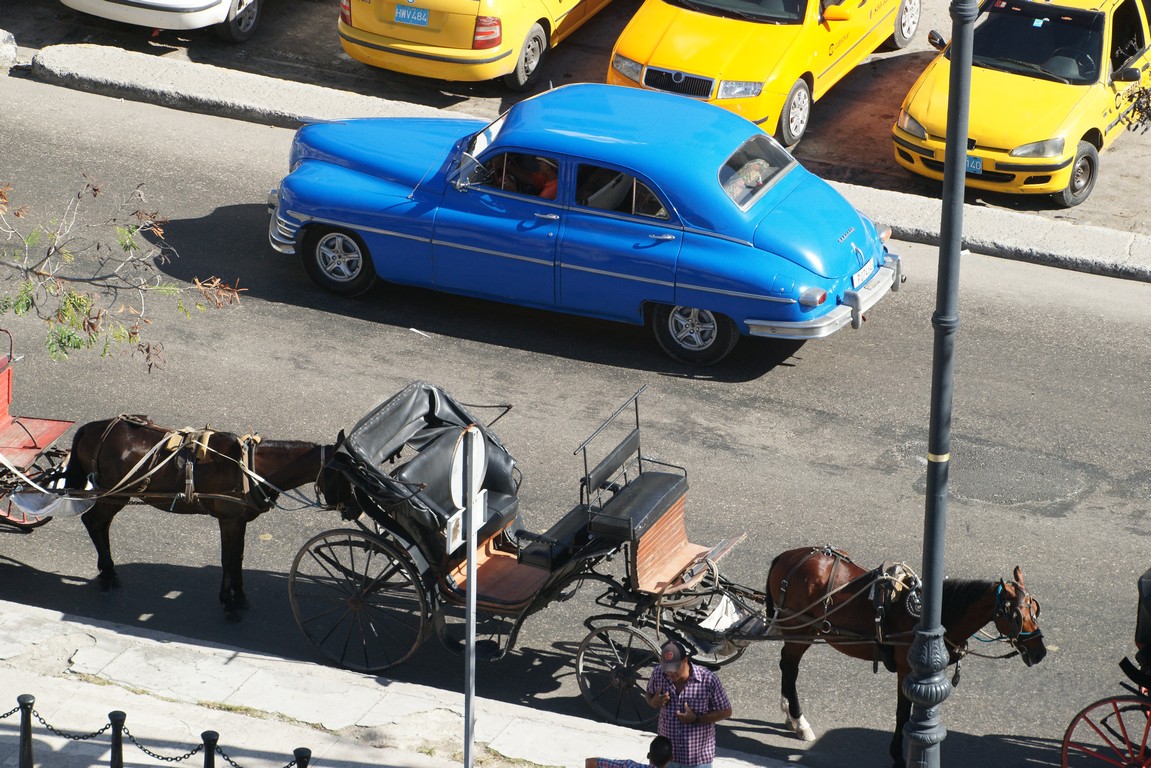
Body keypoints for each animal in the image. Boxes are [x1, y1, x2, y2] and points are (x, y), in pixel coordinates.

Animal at [63, 414, 336, 617]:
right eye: (343, 471)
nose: (344, 509)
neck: (249, 468)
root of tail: (89, 429)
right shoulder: (229, 519)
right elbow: (229, 559)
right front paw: (229, 603)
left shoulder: (238, 521)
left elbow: (237, 557)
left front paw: (238, 597)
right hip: (115, 494)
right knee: (93, 522)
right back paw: (108, 574)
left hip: (114, 496)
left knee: (100, 524)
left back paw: (107, 571)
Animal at [768, 543, 1049, 764]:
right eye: (1015, 616)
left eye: (1034, 609)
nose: (1039, 652)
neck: (937, 614)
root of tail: (786, 556)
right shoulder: (907, 670)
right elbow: (903, 714)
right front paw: (898, 756)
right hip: (800, 628)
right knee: (790, 667)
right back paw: (799, 720)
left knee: (787, 666)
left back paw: (790, 715)